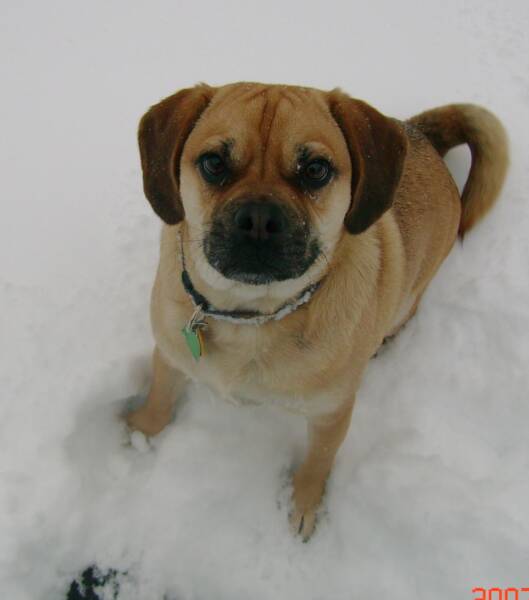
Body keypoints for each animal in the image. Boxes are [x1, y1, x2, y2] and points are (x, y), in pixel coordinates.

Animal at [126, 83, 510, 540]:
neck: (252, 315)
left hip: (412, 295)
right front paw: (143, 431)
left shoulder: (332, 412)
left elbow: (318, 459)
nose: (259, 219)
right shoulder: (170, 354)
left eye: (315, 169)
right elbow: (161, 396)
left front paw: (304, 504)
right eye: (214, 163)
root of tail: (422, 136)